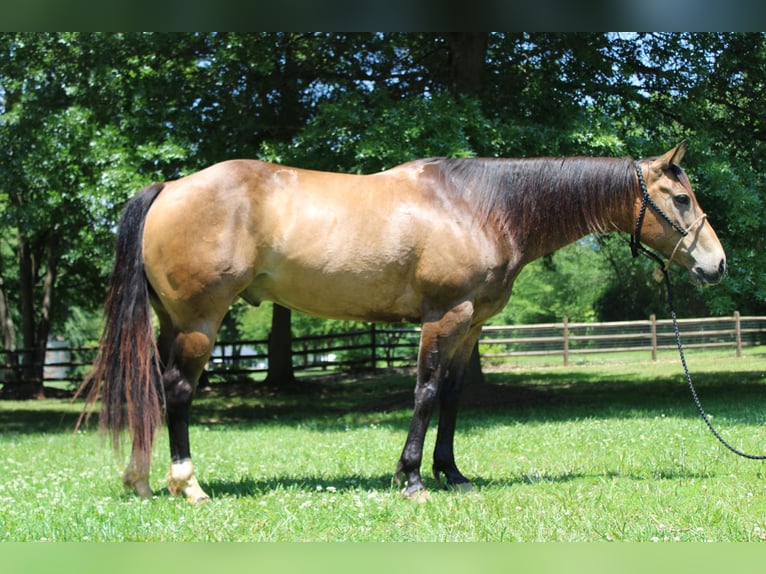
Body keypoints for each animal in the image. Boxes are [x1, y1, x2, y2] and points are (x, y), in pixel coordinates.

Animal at [78, 144, 728, 504]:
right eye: (683, 199)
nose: (716, 264)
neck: (480, 206)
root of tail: (171, 187)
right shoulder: (445, 317)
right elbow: (424, 392)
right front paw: (412, 479)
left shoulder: (471, 326)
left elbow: (454, 397)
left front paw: (452, 474)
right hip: (200, 320)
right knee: (178, 392)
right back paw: (187, 485)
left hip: (171, 321)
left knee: (152, 391)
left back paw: (139, 479)